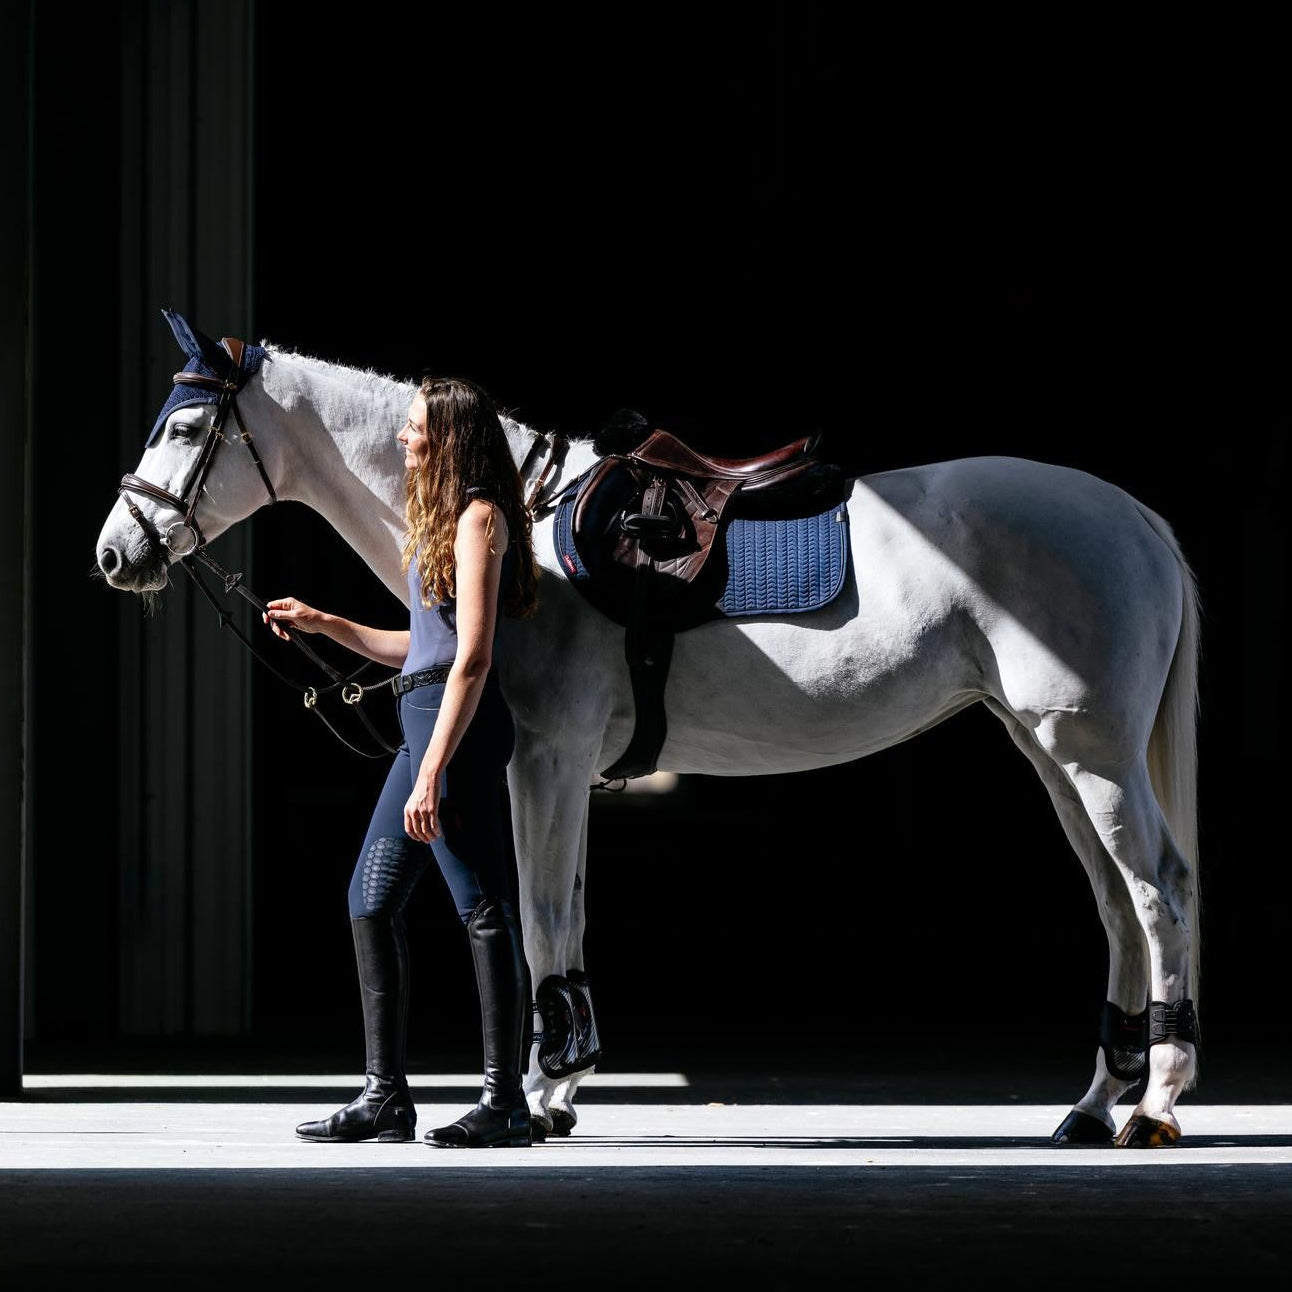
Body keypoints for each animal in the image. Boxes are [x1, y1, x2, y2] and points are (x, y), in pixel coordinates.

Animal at [96, 313, 1202, 1148]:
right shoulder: (565, 768)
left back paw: (1151, 1102)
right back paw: (1090, 1106)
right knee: (1115, 905)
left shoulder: (540, 758)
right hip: (1053, 755)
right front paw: (560, 1086)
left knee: (1157, 893)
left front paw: (534, 1098)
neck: (521, 518)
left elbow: (541, 914)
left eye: (184, 429)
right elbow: (568, 914)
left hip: (1091, 757)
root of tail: (1139, 520)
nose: (115, 552)